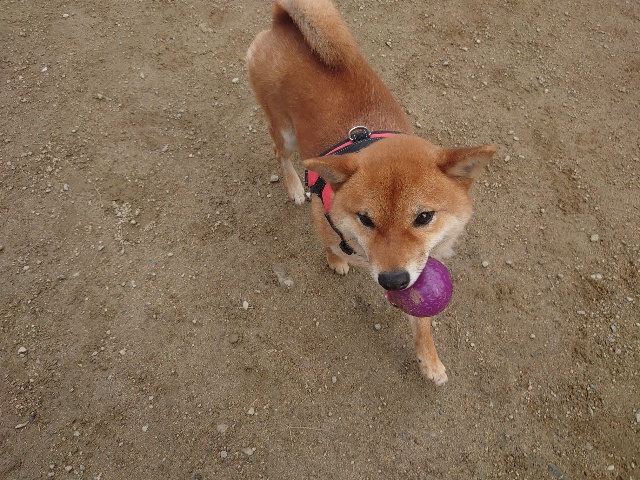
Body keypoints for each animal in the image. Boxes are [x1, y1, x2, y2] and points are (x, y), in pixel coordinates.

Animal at [247, 0, 496, 385]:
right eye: (365, 219)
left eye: (424, 217)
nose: (392, 280)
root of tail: (281, 20)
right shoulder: (325, 224)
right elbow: (330, 246)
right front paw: (336, 262)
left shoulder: (417, 267)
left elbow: (421, 323)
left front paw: (430, 361)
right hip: (284, 130)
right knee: (281, 154)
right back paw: (294, 187)